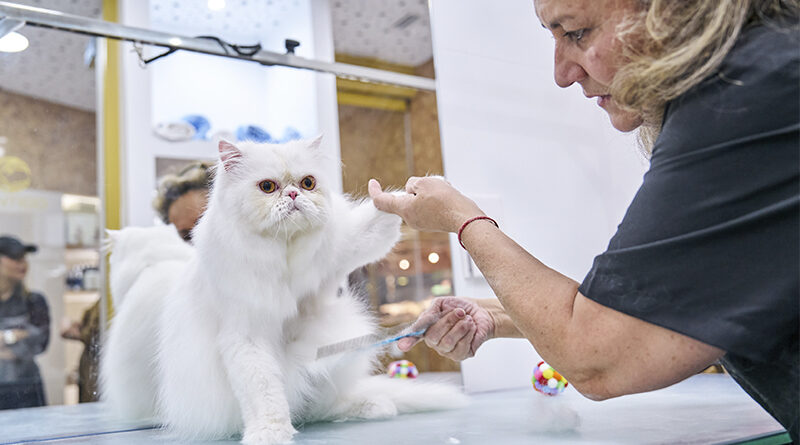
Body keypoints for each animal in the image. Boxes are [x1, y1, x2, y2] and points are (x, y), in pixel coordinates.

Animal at [100, 137, 466, 442]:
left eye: (308, 183)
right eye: (267, 187)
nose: (292, 195)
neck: (284, 250)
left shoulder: (344, 249)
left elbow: (383, 212)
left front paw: (425, 188)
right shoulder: (247, 337)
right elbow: (265, 396)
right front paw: (269, 433)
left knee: (323, 407)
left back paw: (372, 405)